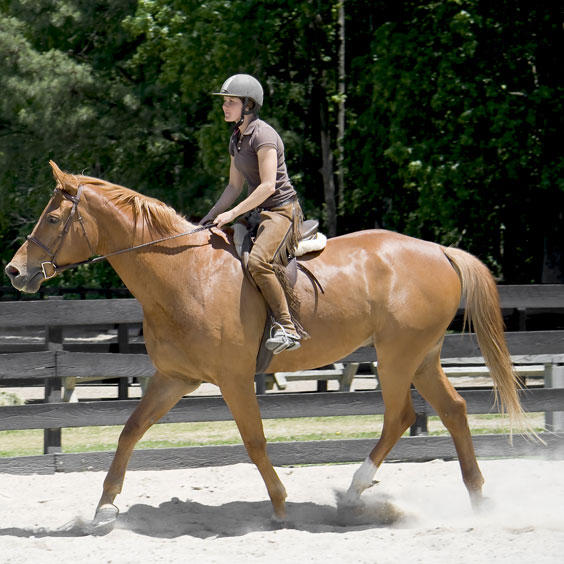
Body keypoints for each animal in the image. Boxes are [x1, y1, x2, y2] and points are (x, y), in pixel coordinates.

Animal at [4, 162, 528, 528]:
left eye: (54, 218)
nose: (14, 271)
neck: (184, 274)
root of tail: (439, 250)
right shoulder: (175, 378)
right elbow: (129, 432)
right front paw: (104, 508)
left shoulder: (234, 380)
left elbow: (254, 442)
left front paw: (279, 505)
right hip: (420, 357)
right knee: (454, 409)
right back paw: (478, 497)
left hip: (397, 356)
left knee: (399, 416)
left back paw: (353, 493)